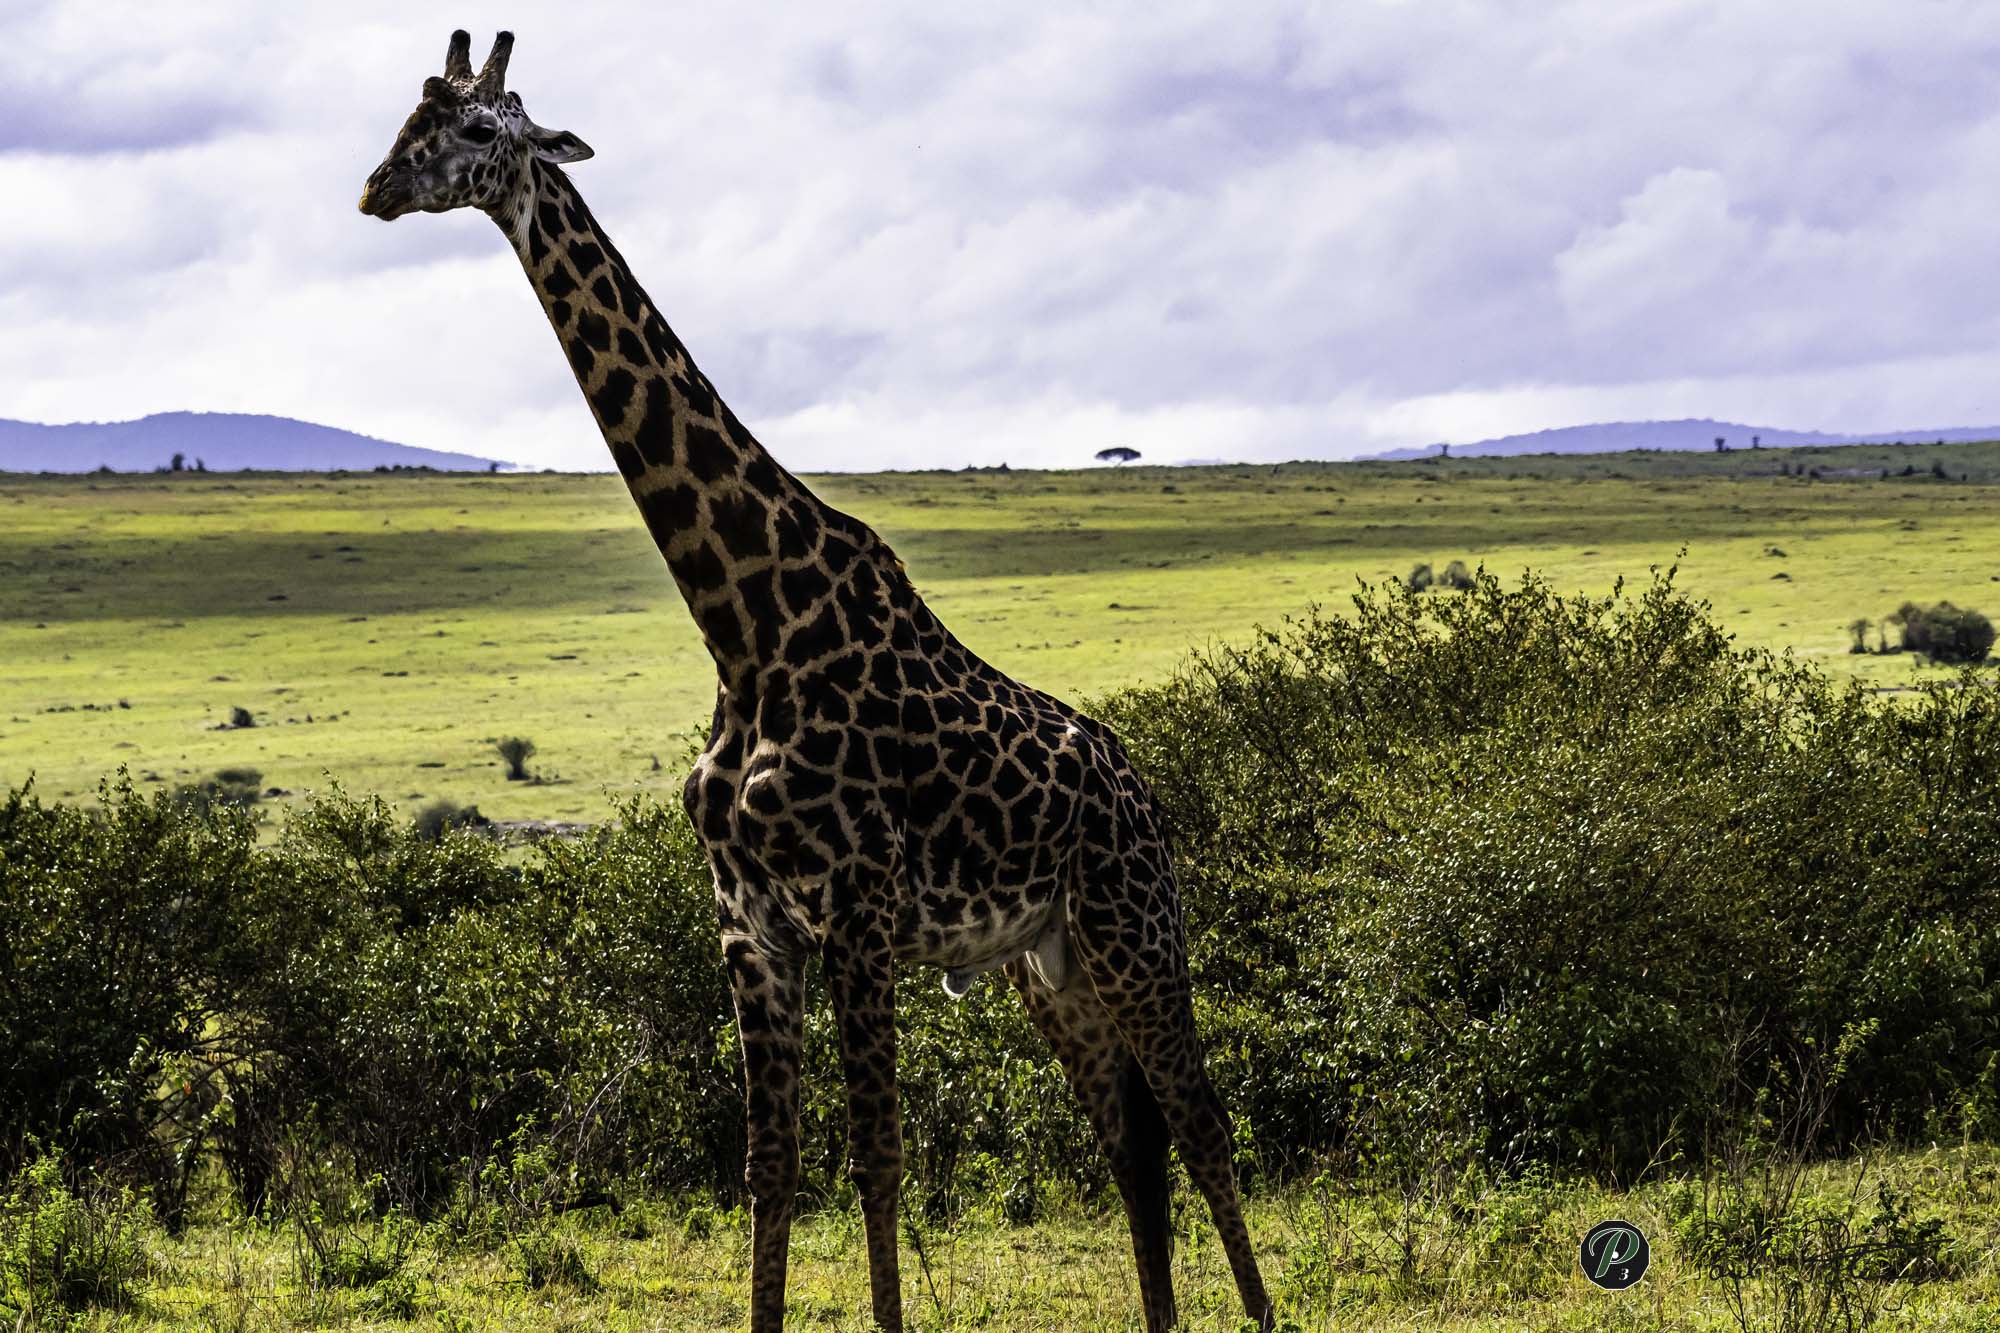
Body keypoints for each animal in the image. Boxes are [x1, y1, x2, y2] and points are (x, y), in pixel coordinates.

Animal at [360, 31, 1274, 1333]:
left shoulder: (860, 916)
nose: (376, 188)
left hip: (1132, 928)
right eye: (407, 118)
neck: (744, 630)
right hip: (1048, 968)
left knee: (1199, 1120)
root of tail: (1145, 793)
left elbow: (876, 1158)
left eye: (482, 131)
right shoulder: (750, 926)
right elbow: (771, 1166)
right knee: (1129, 1139)